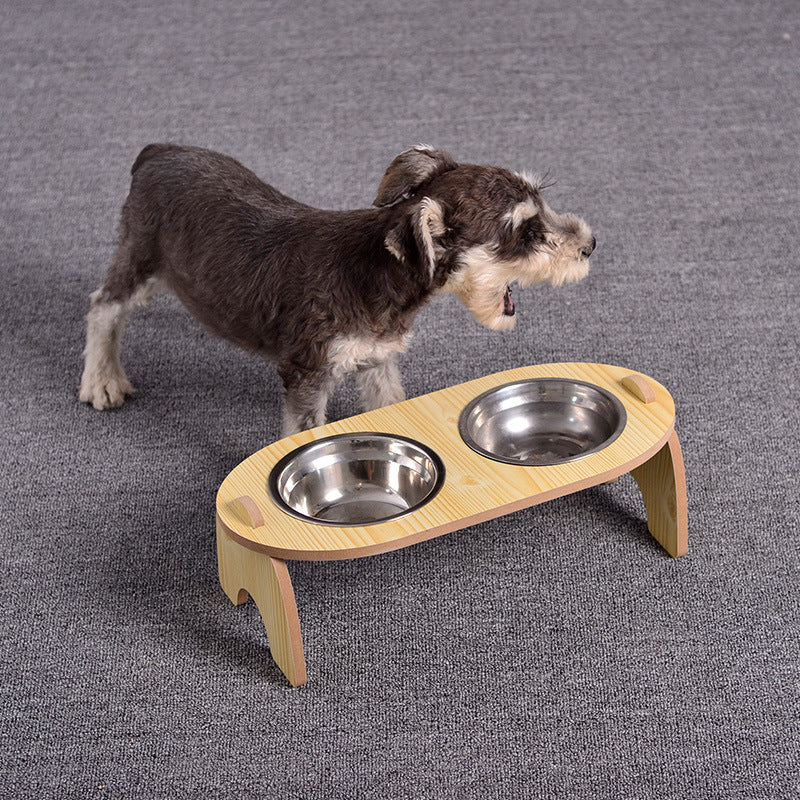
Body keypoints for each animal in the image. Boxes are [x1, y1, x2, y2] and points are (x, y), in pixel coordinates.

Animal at [81, 141, 592, 434]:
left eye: (541, 199)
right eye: (525, 233)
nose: (589, 245)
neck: (375, 273)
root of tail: (155, 153)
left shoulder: (378, 361)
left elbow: (388, 403)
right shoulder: (306, 376)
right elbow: (304, 435)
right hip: (141, 257)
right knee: (104, 306)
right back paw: (102, 380)